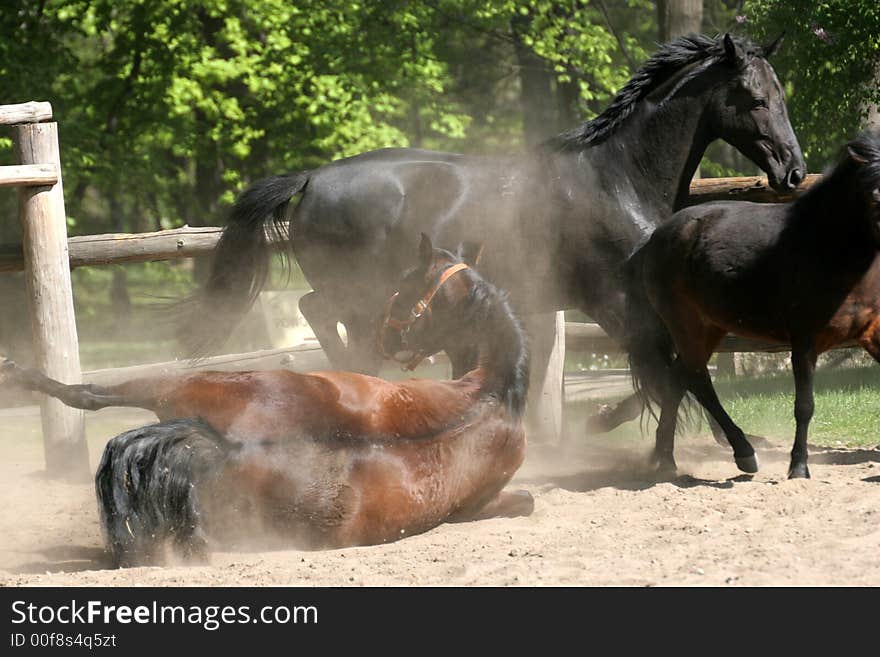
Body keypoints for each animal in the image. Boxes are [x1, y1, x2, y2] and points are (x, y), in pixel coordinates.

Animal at [3, 236, 532, 564]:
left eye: (401, 288)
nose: (384, 338)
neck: (493, 388)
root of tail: (221, 446)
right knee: (88, 394)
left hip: (177, 389)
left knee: (90, 394)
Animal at [179, 34, 804, 436]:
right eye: (754, 98)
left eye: (782, 94)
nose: (793, 171)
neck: (616, 178)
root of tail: (312, 178)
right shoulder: (613, 300)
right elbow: (663, 372)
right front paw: (609, 423)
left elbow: (671, 370)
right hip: (361, 294)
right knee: (320, 312)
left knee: (323, 314)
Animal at [624, 131, 880, 476]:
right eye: (873, 195)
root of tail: (655, 238)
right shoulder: (804, 341)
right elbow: (804, 406)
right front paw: (798, 468)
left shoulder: (874, 333)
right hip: (687, 324)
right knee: (696, 379)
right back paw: (742, 453)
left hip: (710, 327)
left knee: (678, 378)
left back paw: (666, 459)